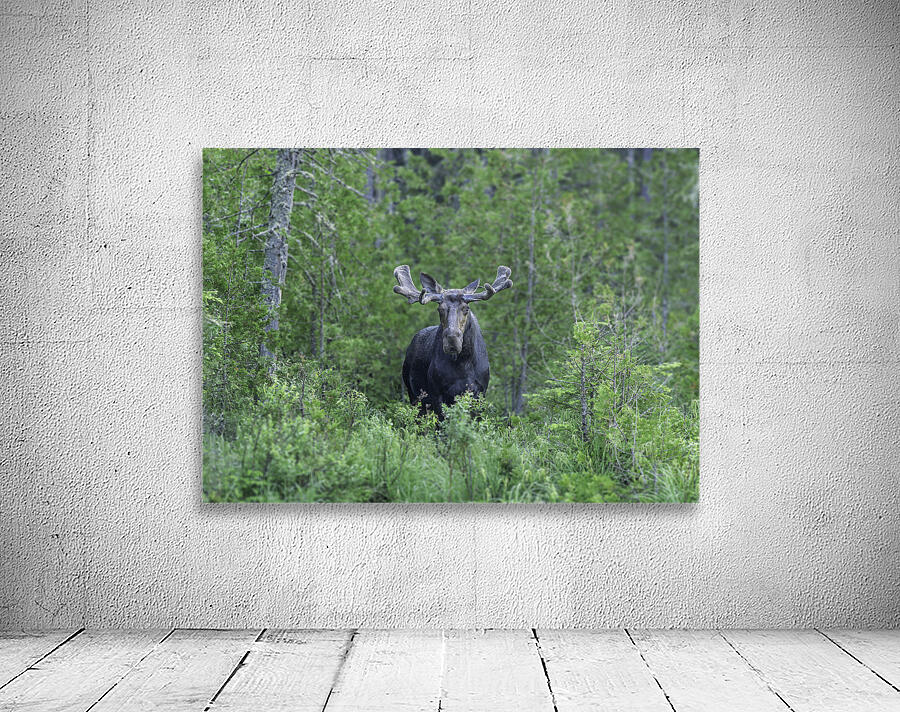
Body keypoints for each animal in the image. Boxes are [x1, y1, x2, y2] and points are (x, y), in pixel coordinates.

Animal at [393, 264, 513, 419]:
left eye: (466, 308)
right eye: (440, 309)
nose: (452, 340)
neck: (462, 363)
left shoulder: (480, 392)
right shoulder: (436, 393)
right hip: (413, 395)